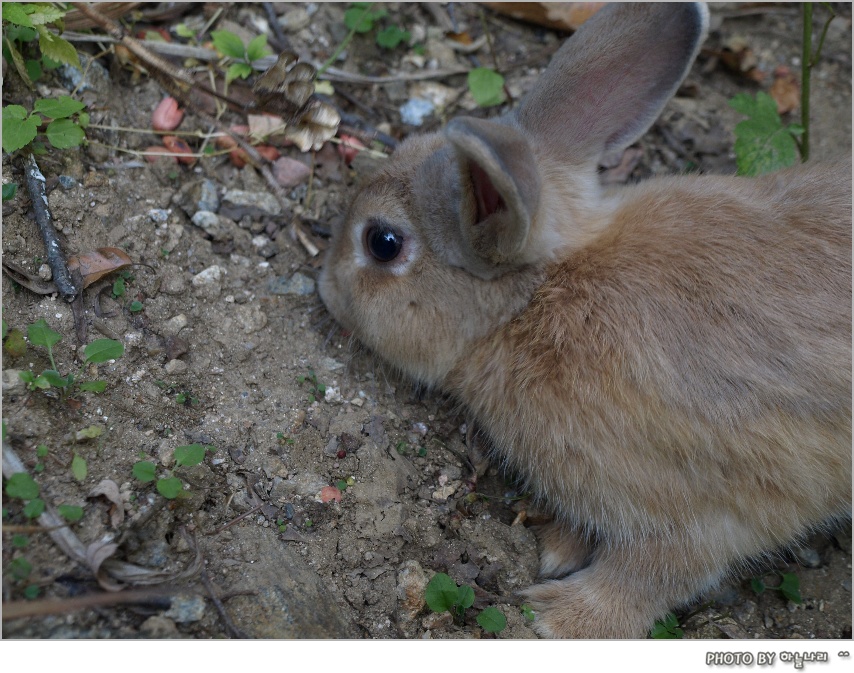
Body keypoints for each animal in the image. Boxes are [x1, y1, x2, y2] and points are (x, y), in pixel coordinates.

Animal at [318, 2, 852, 636]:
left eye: (382, 243)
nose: (323, 286)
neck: (533, 301)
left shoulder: (705, 502)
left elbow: (661, 570)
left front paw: (559, 616)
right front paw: (560, 546)